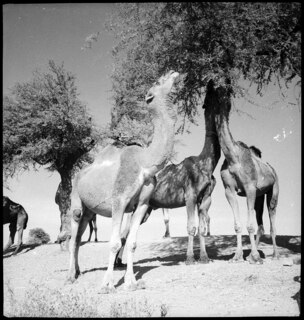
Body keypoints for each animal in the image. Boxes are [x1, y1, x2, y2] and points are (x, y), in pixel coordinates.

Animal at [67, 70, 180, 292]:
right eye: (158, 81)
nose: (173, 72)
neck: (145, 162)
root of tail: (78, 175)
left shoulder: (143, 204)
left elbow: (132, 242)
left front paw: (132, 282)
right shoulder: (118, 200)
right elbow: (114, 242)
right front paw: (107, 284)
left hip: (89, 210)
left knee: (79, 235)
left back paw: (78, 272)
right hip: (75, 197)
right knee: (74, 231)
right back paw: (69, 276)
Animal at [213, 84, 280, 264]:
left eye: (226, 92)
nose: (217, 97)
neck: (233, 158)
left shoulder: (249, 187)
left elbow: (250, 225)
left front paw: (255, 256)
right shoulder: (229, 190)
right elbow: (238, 225)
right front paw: (237, 256)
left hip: (273, 191)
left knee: (272, 217)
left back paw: (274, 255)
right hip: (259, 195)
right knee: (261, 224)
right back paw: (251, 255)